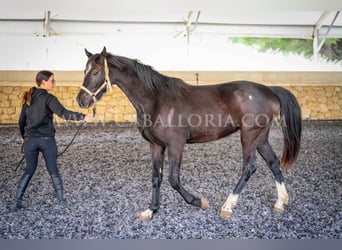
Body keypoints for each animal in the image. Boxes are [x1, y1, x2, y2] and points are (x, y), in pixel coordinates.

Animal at [76, 47, 300, 221]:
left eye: (95, 72)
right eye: (84, 70)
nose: (81, 100)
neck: (157, 100)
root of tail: (270, 90)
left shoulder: (176, 145)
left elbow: (173, 179)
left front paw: (199, 201)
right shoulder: (155, 145)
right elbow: (156, 178)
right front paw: (151, 211)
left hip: (249, 136)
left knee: (249, 167)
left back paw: (227, 206)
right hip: (260, 138)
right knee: (273, 163)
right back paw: (280, 203)